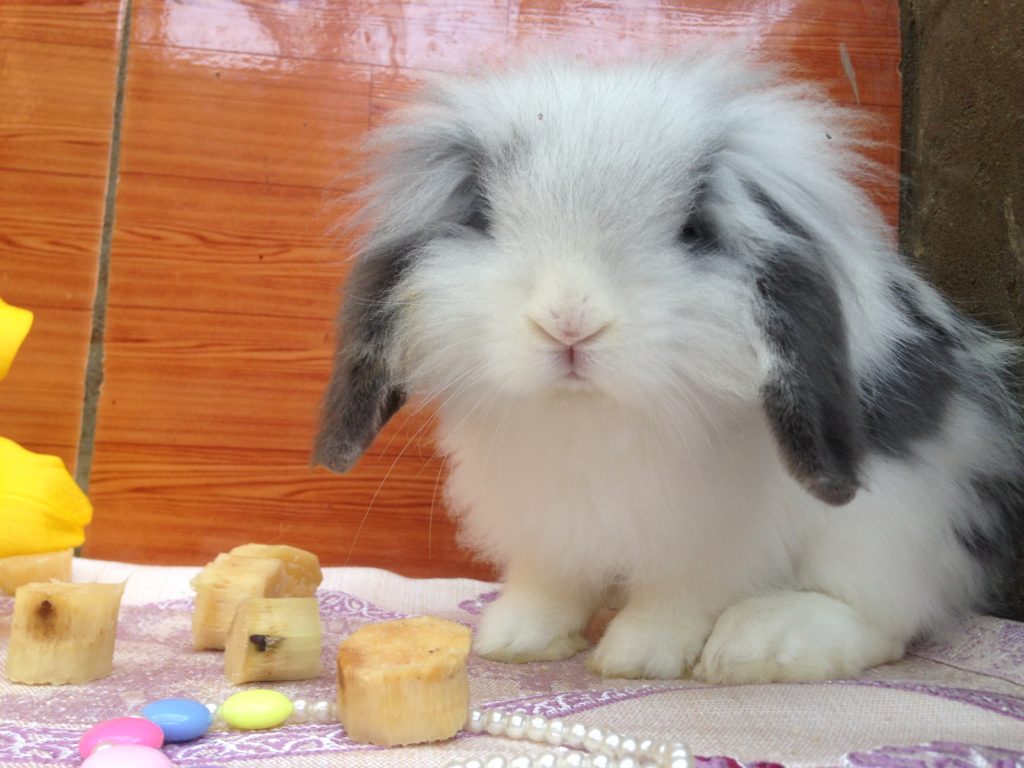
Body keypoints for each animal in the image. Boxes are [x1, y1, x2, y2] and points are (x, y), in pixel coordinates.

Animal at [313, 51, 1024, 684]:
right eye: (480, 215)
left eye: (693, 229)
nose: (569, 322)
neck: (588, 420)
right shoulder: (547, 526)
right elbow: (549, 584)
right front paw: (515, 641)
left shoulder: (709, 542)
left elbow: (676, 601)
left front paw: (638, 658)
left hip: (892, 527)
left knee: (884, 619)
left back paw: (760, 644)